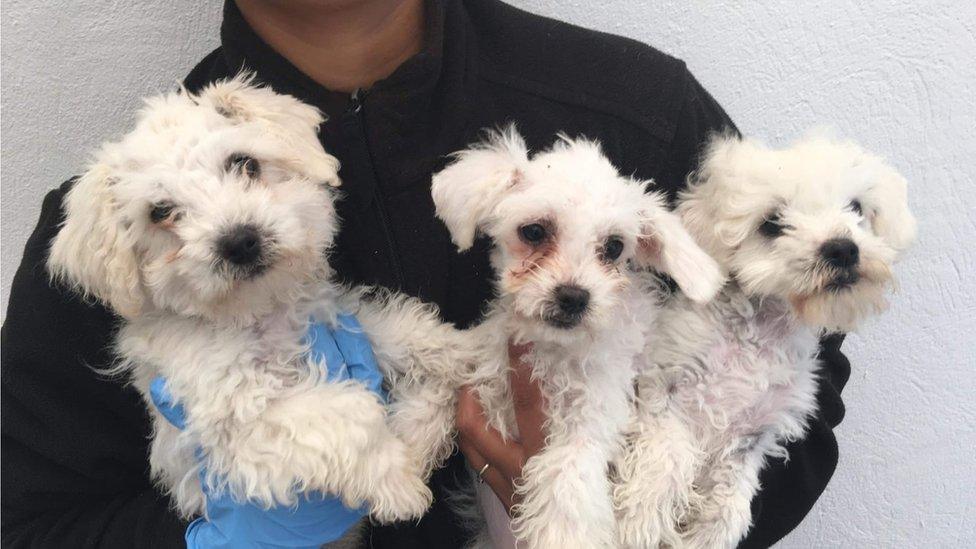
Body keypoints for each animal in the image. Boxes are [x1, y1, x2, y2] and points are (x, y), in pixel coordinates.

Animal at [46, 77, 468, 528]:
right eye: (160, 212)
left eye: (245, 164)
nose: (239, 241)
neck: (259, 314)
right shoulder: (235, 416)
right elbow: (351, 414)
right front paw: (397, 481)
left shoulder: (334, 319)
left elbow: (406, 338)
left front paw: (467, 356)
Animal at [612, 134, 920, 548]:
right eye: (772, 223)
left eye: (856, 207)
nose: (842, 248)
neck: (759, 337)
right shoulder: (663, 392)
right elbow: (664, 464)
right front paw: (640, 525)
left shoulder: (752, 434)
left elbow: (728, 507)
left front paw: (705, 534)